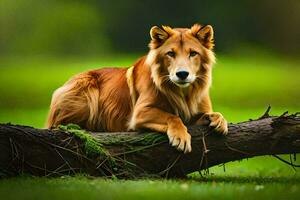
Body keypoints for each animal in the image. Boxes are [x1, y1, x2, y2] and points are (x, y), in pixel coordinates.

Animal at [47, 24, 227, 153]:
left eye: (193, 53)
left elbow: (213, 114)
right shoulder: (140, 113)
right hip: (86, 88)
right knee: (58, 125)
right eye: (170, 53)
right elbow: (173, 117)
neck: (183, 92)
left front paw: (219, 121)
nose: (182, 74)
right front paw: (180, 137)